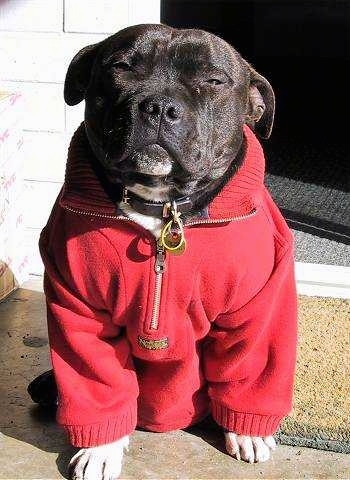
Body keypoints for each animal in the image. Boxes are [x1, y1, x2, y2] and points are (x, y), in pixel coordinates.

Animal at [28, 23, 296, 480]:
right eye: (121, 67)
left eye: (214, 80)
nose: (158, 107)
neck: (163, 208)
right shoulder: (77, 309)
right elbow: (96, 378)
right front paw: (101, 448)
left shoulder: (260, 307)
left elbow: (252, 366)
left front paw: (247, 432)